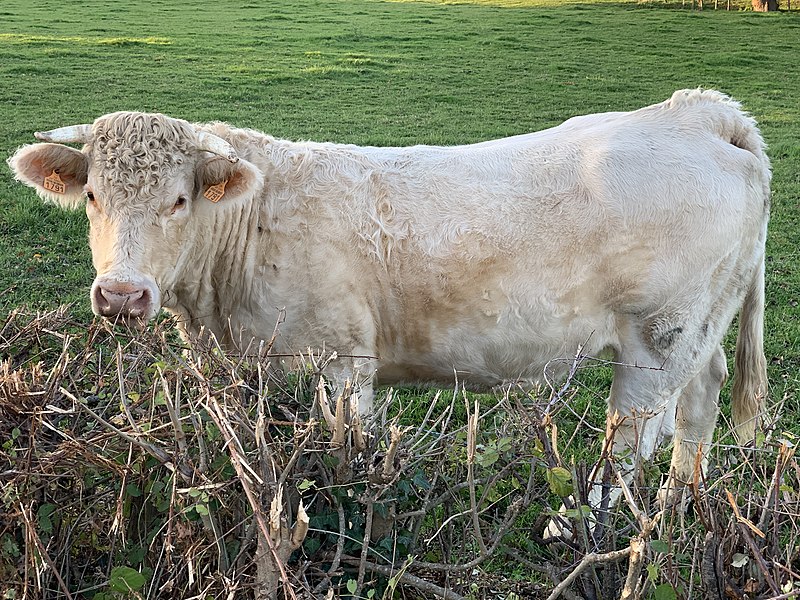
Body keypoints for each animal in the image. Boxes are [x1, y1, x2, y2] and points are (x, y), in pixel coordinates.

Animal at [6, 90, 768, 510]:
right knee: (700, 402)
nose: (122, 294)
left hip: (656, 339)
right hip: (699, 328)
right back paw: (681, 500)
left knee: (634, 438)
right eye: (93, 195)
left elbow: (347, 451)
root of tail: (693, 112)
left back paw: (581, 524)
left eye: (179, 199)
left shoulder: (345, 361)